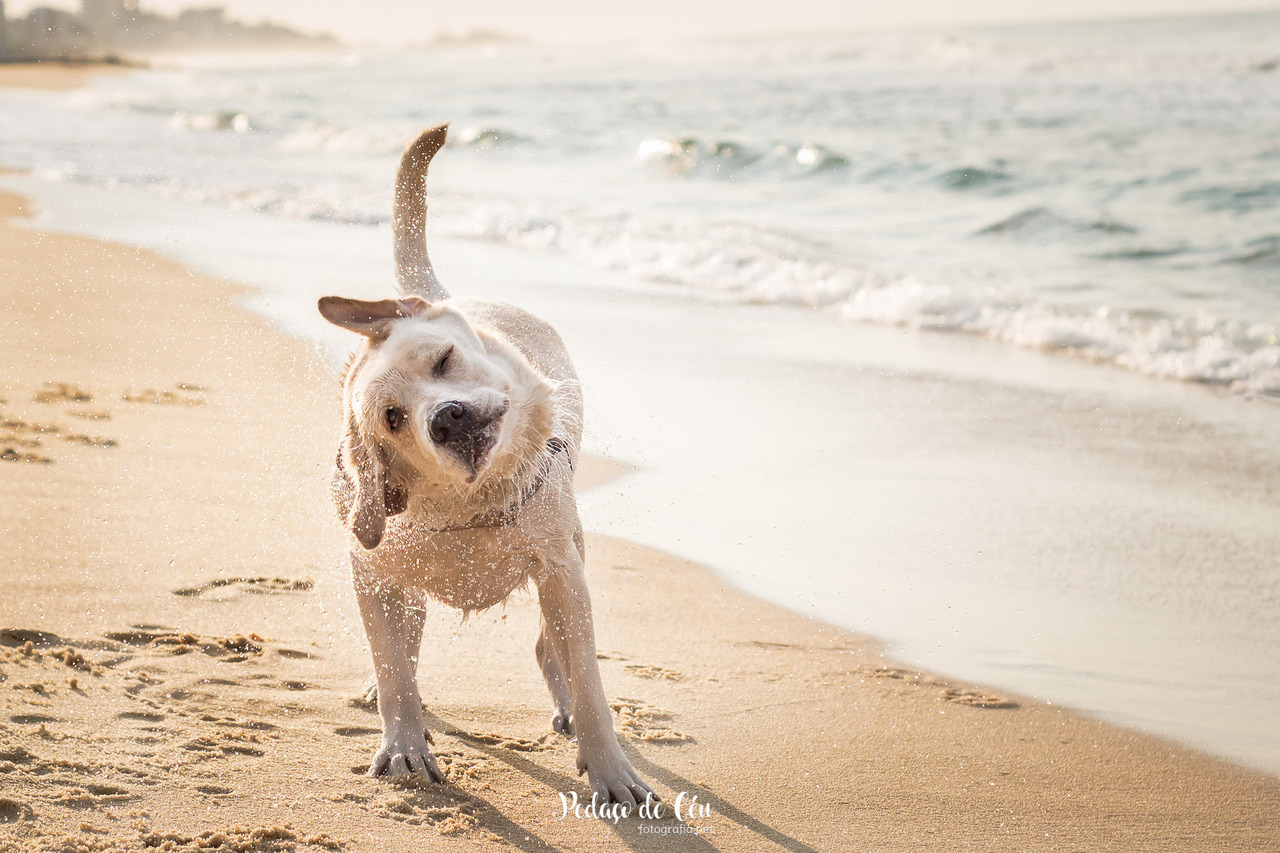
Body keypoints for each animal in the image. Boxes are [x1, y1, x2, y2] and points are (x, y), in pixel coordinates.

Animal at [316, 124, 655, 804]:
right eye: (392, 418)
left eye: (444, 359)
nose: (446, 418)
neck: (470, 506)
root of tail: (444, 295)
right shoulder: (371, 570)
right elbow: (394, 670)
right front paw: (405, 746)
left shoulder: (559, 569)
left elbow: (590, 680)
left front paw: (610, 770)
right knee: (404, 644)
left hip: (571, 551)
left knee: (552, 648)